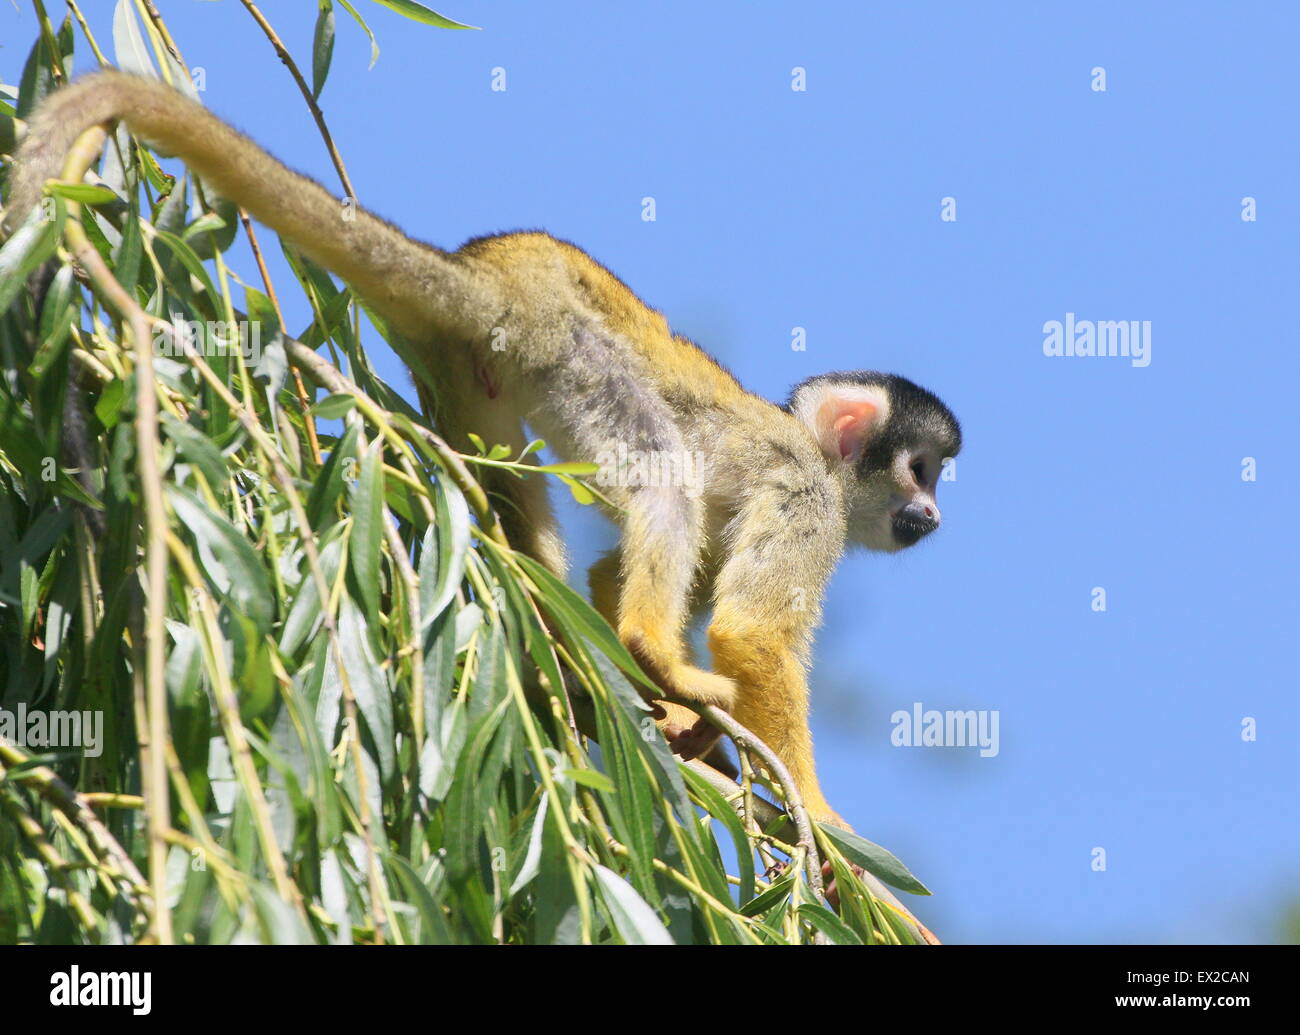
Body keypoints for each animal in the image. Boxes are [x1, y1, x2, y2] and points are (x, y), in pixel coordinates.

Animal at [7, 72, 967, 826]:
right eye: (921, 469)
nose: (931, 512)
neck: (813, 449)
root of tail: (480, 277)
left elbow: (628, 572)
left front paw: (676, 717)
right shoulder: (808, 496)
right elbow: (750, 632)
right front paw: (823, 821)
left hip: (467, 383)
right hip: (574, 352)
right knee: (664, 477)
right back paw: (650, 652)